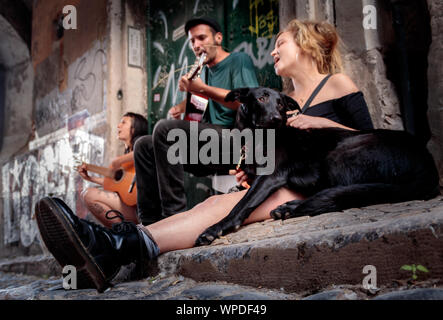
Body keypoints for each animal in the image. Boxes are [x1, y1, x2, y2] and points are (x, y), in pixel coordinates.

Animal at [196, 87, 442, 245]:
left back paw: (291, 207)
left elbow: (240, 206)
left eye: (281, 103)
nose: (278, 118)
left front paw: (214, 229)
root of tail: (427, 161)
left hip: (340, 153)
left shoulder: (270, 176)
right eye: (262, 98)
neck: (258, 138)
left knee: (342, 193)